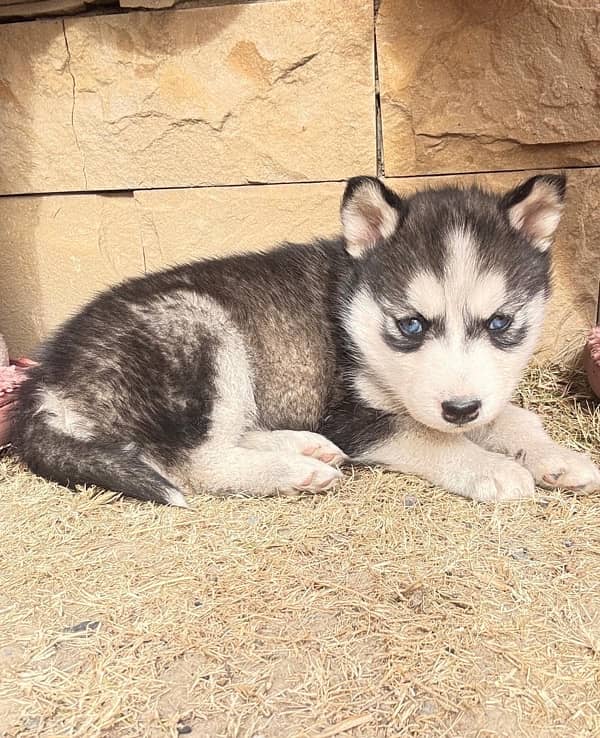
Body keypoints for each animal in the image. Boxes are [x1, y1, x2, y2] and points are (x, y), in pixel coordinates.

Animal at [12, 175, 600, 504]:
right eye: (411, 325)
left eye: (499, 323)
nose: (459, 408)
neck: (351, 310)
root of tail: (45, 382)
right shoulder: (352, 415)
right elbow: (433, 439)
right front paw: (493, 469)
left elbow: (512, 418)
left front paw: (556, 457)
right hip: (203, 328)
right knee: (191, 461)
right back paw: (295, 471)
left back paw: (302, 446)